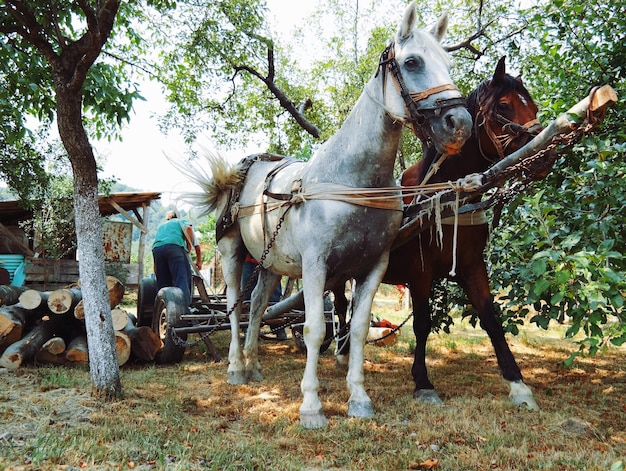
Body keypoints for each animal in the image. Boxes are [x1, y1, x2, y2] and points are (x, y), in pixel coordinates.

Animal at [184, 1, 468, 428]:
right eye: (413, 61)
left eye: (448, 63)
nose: (460, 123)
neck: (353, 181)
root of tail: (244, 170)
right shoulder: (316, 265)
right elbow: (316, 329)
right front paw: (312, 406)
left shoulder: (372, 267)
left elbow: (357, 329)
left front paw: (359, 399)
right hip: (233, 254)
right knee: (235, 305)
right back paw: (235, 367)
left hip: (270, 265)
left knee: (257, 306)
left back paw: (253, 365)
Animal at [380, 56, 540, 410]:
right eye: (504, 106)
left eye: (533, 105)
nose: (540, 153)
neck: (445, 196)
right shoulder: (420, 272)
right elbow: (422, 324)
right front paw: (423, 382)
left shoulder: (471, 265)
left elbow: (491, 319)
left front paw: (518, 383)